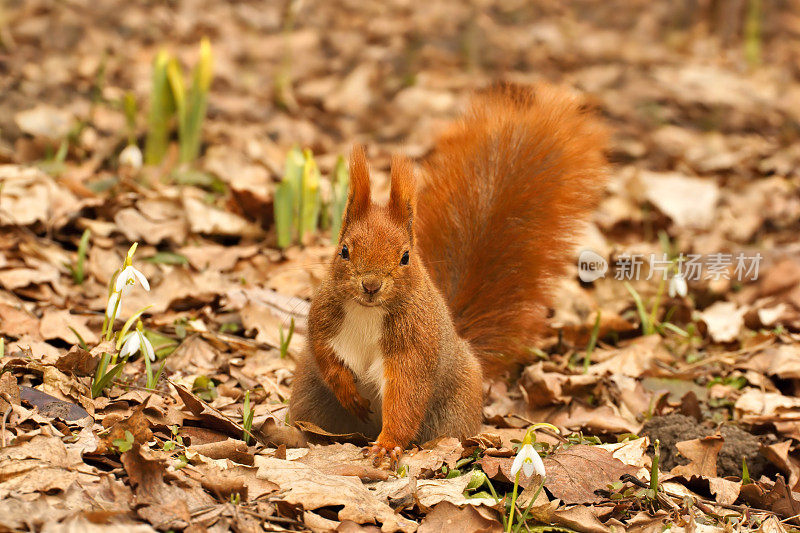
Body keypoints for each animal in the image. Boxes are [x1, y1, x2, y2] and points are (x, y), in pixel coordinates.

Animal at [288, 81, 608, 464]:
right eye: (344, 251)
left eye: (406, 257)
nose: (371, 285)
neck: (368, 313)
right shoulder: (323, 319)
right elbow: (324, 355)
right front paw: (348, 391)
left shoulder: (416, 344)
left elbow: (406, 395)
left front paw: (387, 446)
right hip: (308, 394)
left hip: (455, 406)